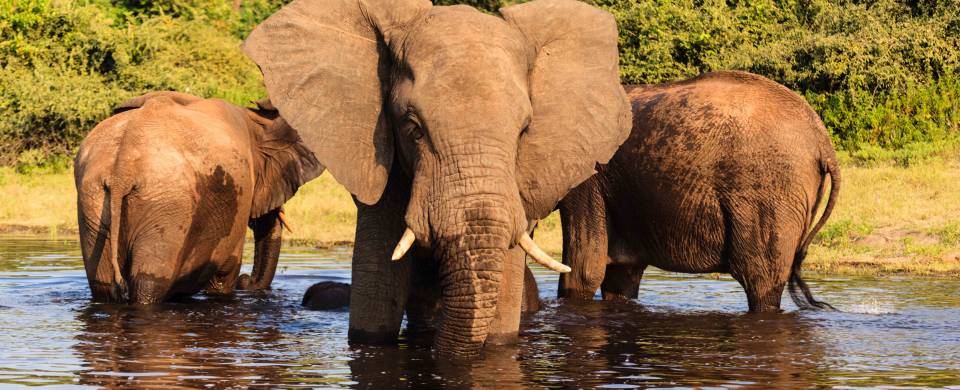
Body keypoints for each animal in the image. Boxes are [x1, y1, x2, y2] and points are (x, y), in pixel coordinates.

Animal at [74, 92, 322, 304]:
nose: (246, 282)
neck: (254, 120)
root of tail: (122, 170)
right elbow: (225, 273)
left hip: (94, 197)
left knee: (103, 282)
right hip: (168, 205)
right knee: (148, 283)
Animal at [556, 71, 840, 312]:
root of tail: (823, 141)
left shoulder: (587, 178)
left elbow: (583, 270)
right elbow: (621, 275)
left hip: (769, 192)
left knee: (761, 282)